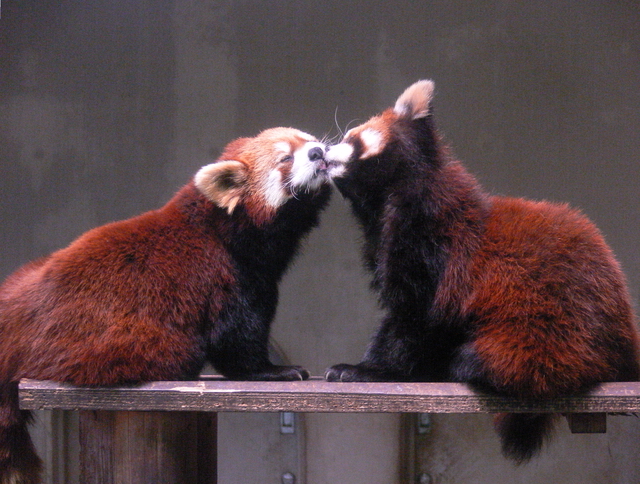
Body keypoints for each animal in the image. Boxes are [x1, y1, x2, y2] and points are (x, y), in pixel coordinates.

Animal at [0, 127, 332, 484]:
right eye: (285, 158)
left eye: (309, 139)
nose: (317, 152)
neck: (227, 230)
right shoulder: (225, 275)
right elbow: (234, 339)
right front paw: (273, 370)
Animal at [324, 81, 640, 464]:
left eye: (352, 138)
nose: (322, 152)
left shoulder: (432, 250)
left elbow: (413, 320)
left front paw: (367, 370)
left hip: (555, 325)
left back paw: (469, 366)